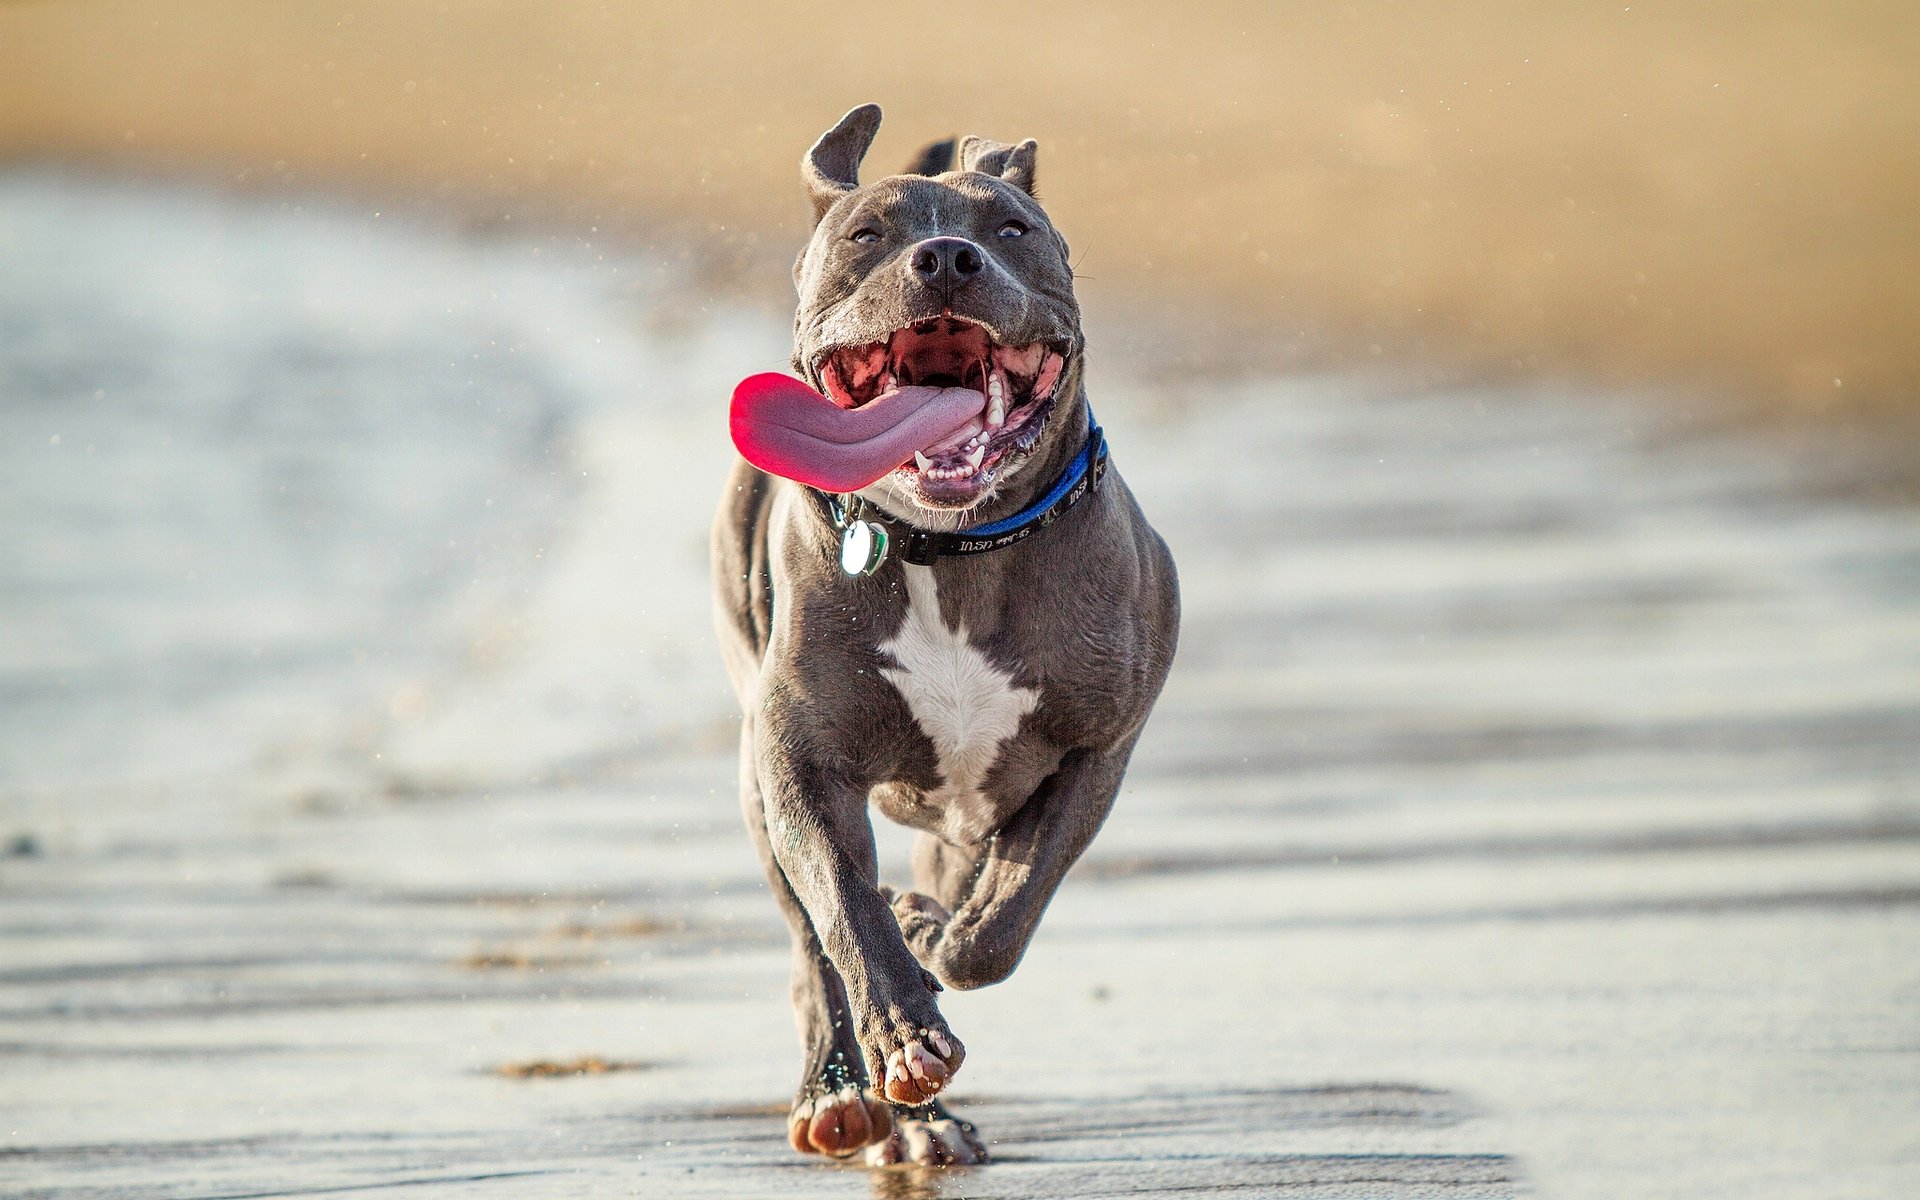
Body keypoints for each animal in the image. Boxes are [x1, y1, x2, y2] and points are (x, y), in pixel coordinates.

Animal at [714, 107, 1175, 1167]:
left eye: (1010, 228)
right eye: (867, 235)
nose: (947, 258)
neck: (954, 549)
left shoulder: (1095, 751)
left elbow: (1003, 916)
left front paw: (932, 938)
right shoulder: (799, 760)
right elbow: (844, 908)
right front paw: (902, 1028)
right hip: (756, 775)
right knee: (810, 944)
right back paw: (846, 1093)